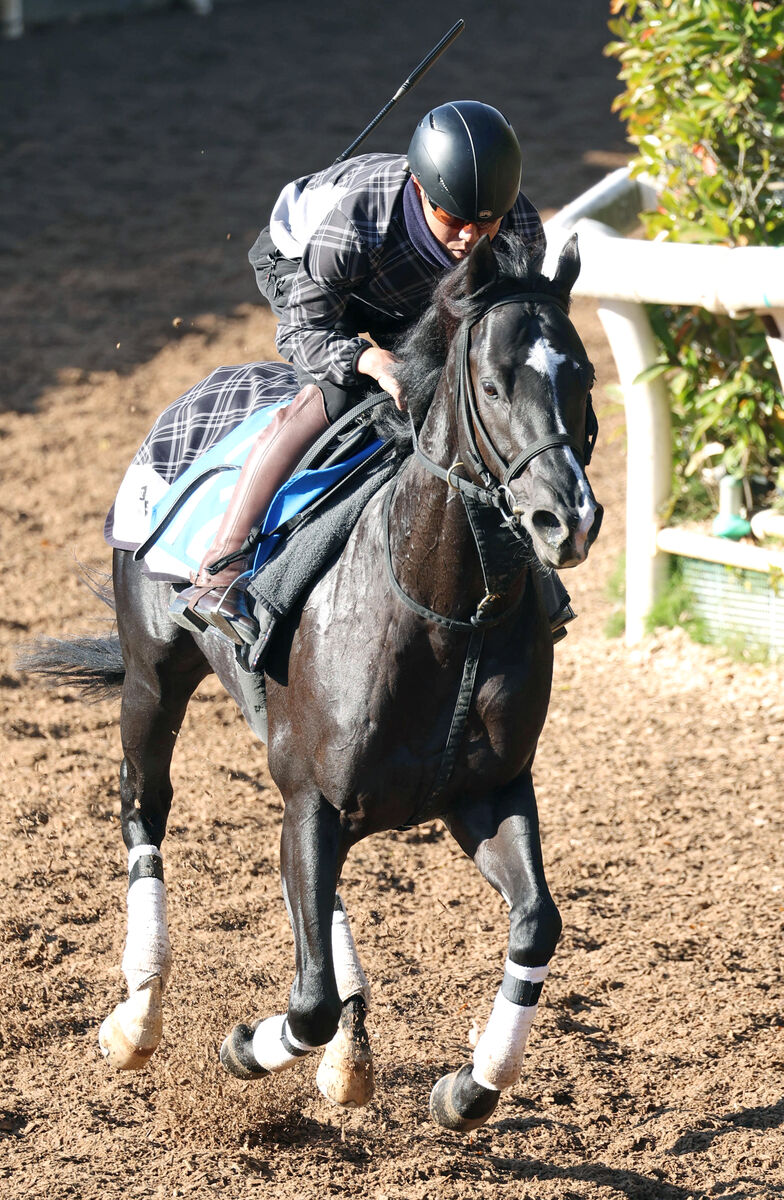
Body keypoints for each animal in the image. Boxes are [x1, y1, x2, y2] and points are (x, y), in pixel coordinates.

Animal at [30, 236, 600, 1132]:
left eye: (582, 379)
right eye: (494, 384)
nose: (565, 519)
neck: (444, 615)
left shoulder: (487, 792)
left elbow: (537, 923)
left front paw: (469, 1085)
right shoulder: (314, 800)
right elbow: (308, 1004)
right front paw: (243, 1048)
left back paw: (346, 1058)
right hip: (155, 675)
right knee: (143, 803)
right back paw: (137, 1017)